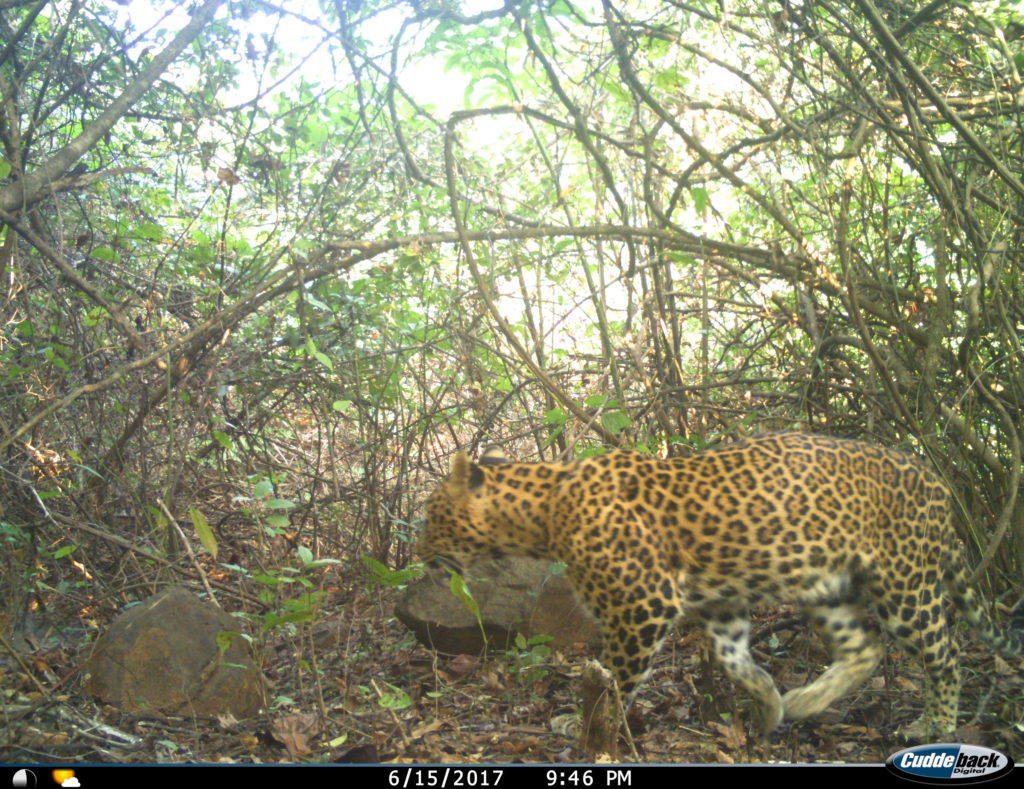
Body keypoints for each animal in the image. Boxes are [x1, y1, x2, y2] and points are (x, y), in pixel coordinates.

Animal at [417, 429, 1024, 736]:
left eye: (431, 516)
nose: (418, 554)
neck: (544, 512)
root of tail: (939, 484)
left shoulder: (643, 605)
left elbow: (615, 677)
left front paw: (586, 721)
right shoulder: (719, 604)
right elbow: (736, 663)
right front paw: (771, 703)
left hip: (905, 584)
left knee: (944, 652)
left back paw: (935, 724)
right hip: (826, 586)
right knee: (865, 649)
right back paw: (804, 702)